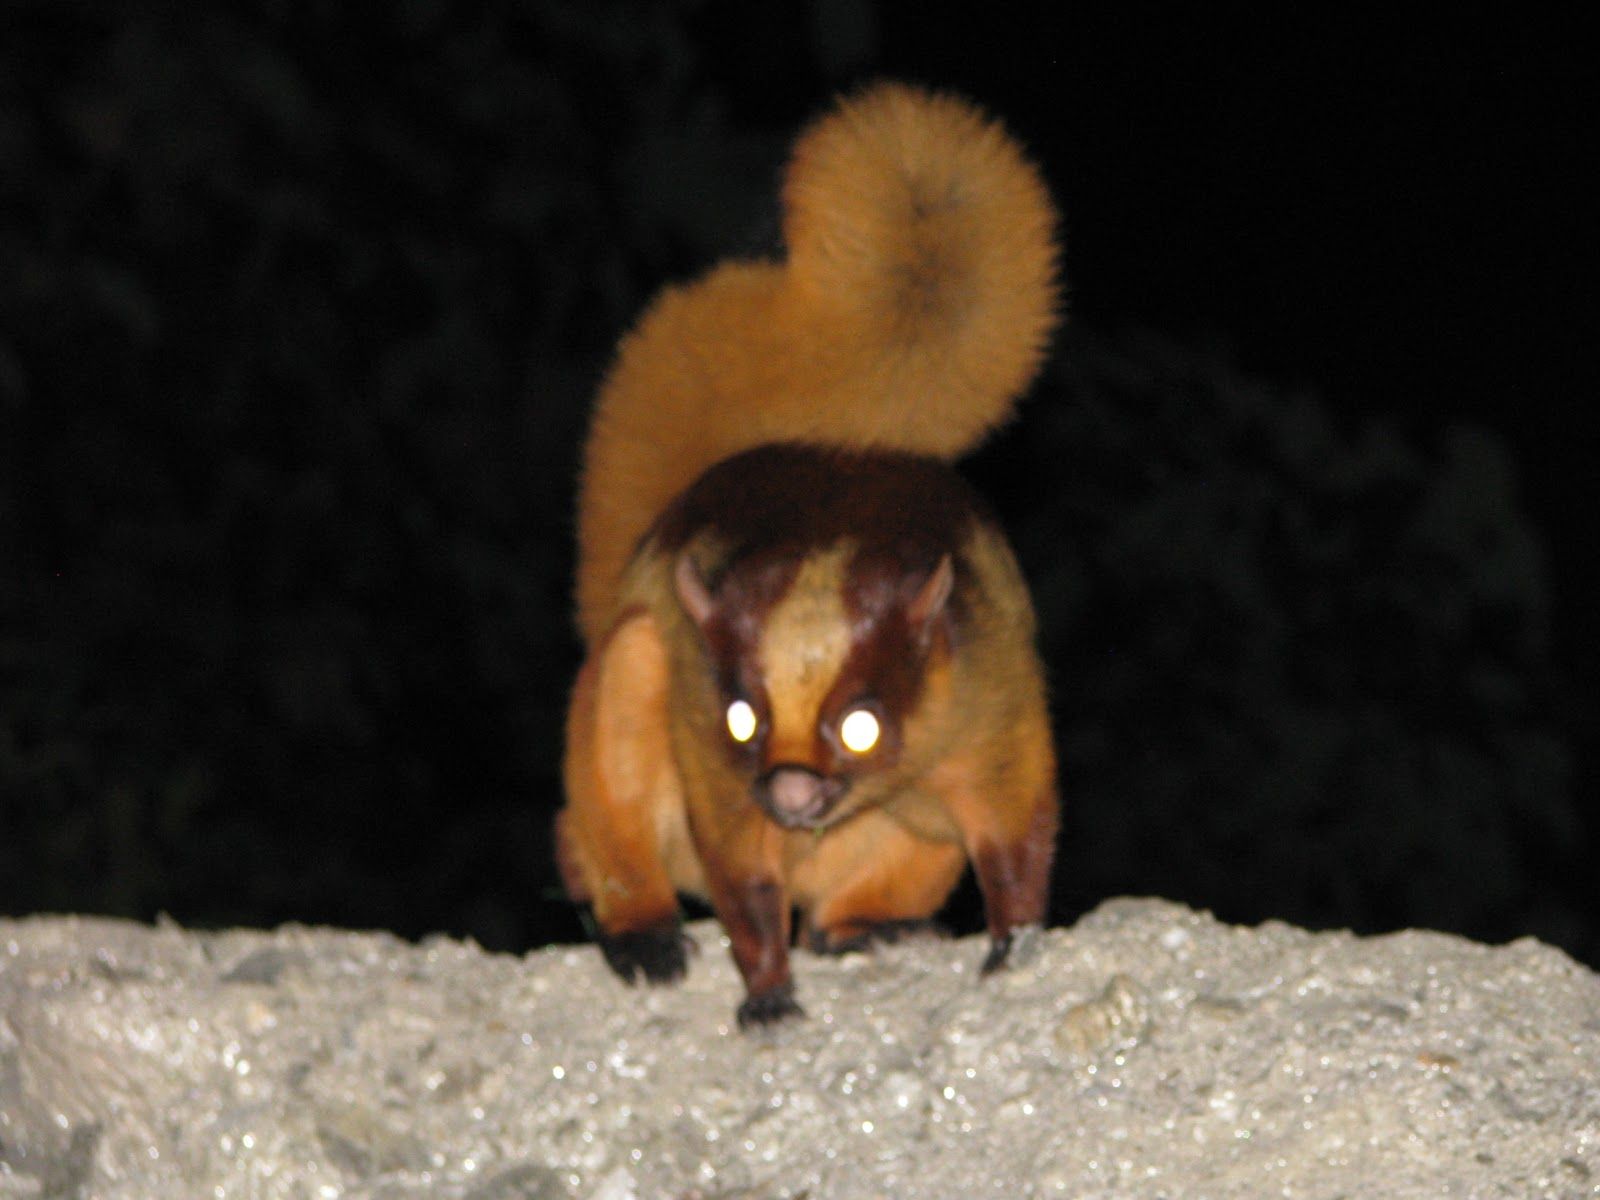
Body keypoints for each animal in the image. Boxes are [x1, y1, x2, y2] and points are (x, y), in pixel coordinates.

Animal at [556, 82, 1060, 1028]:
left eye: (863, 726)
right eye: (739, 720)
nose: (789, 790)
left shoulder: (993, 697)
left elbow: (1016, 826)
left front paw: (1016, 942)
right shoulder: (708, 745)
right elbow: (740, 871)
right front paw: (767, 992)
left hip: (907, 836)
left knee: (875, 878)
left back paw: (865, 927)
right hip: (626, 694)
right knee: (613, 780)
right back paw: (642, 928)